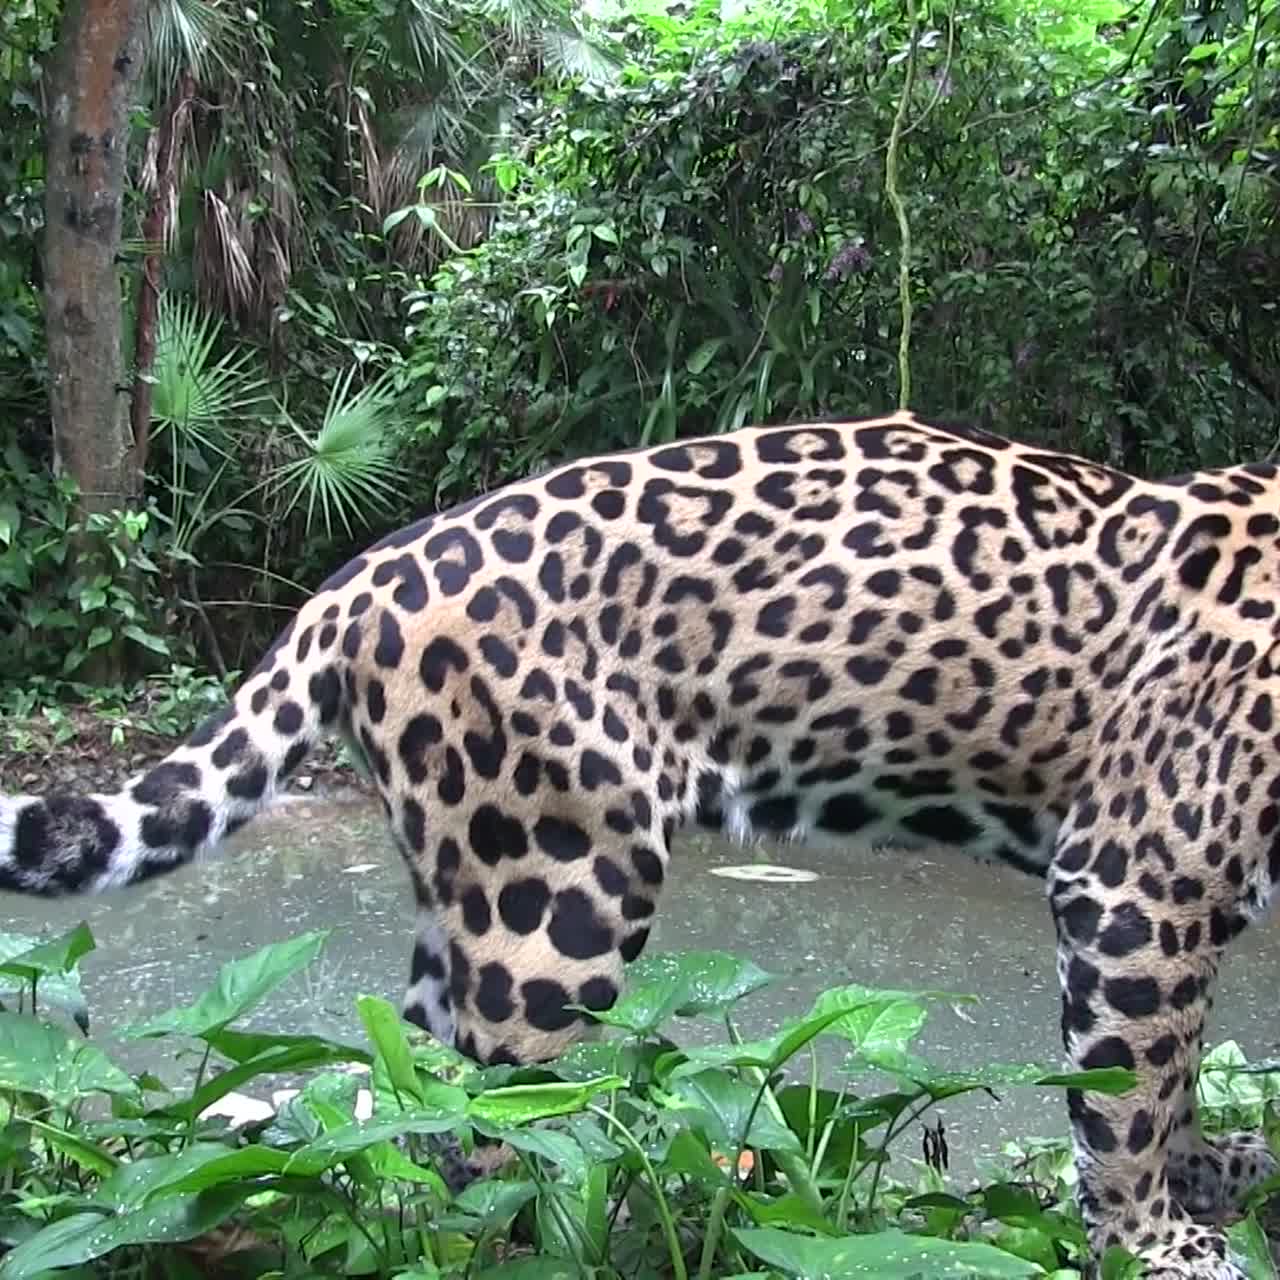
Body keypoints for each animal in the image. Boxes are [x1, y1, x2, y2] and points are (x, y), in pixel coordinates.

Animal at [3, 410, 1280, 1275]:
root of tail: (360, 575)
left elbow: (1170, 1076)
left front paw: (1214, 1170)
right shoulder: (1134, 879)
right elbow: (1129, 1086)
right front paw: (1156, 1240)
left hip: (470, 890)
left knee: (418, 1094)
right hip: (560, 900)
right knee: (487, 1123)